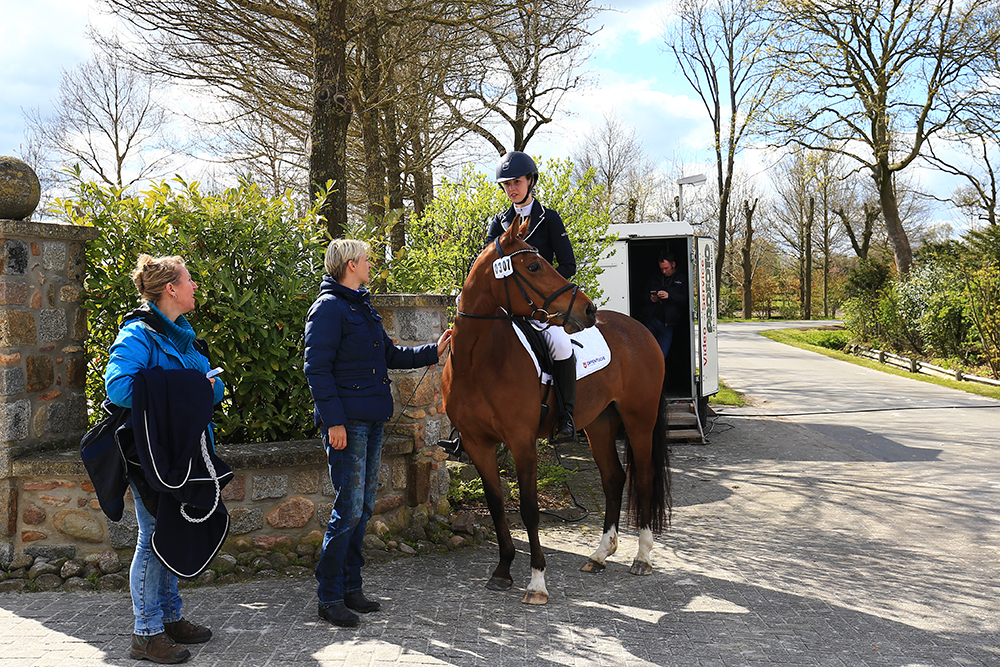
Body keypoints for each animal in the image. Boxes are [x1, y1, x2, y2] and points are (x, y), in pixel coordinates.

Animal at [441, 215, 670, 605]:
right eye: (533, 266)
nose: (589, 310)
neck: (477, 359)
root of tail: (639, 329)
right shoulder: (477, 443)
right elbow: (497, 504)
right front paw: (502, 570)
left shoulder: (521, 442)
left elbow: (529, 509)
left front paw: (537, 582)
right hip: (600, 424)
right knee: (614, 478)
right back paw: (600, 554)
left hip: (639, 419)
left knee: (644, 477)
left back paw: (641, 556)